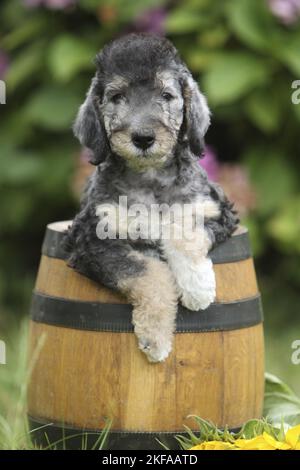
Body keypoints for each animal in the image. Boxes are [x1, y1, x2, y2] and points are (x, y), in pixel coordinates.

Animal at [63, 34, 239, 364]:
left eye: (167, 95)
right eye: (117, 96)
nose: (143, 138)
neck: (149, 177)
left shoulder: (216, 209)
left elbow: (183, 231)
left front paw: (197, 287)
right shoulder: (91, 240)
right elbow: (148, 272)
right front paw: (155, 339)